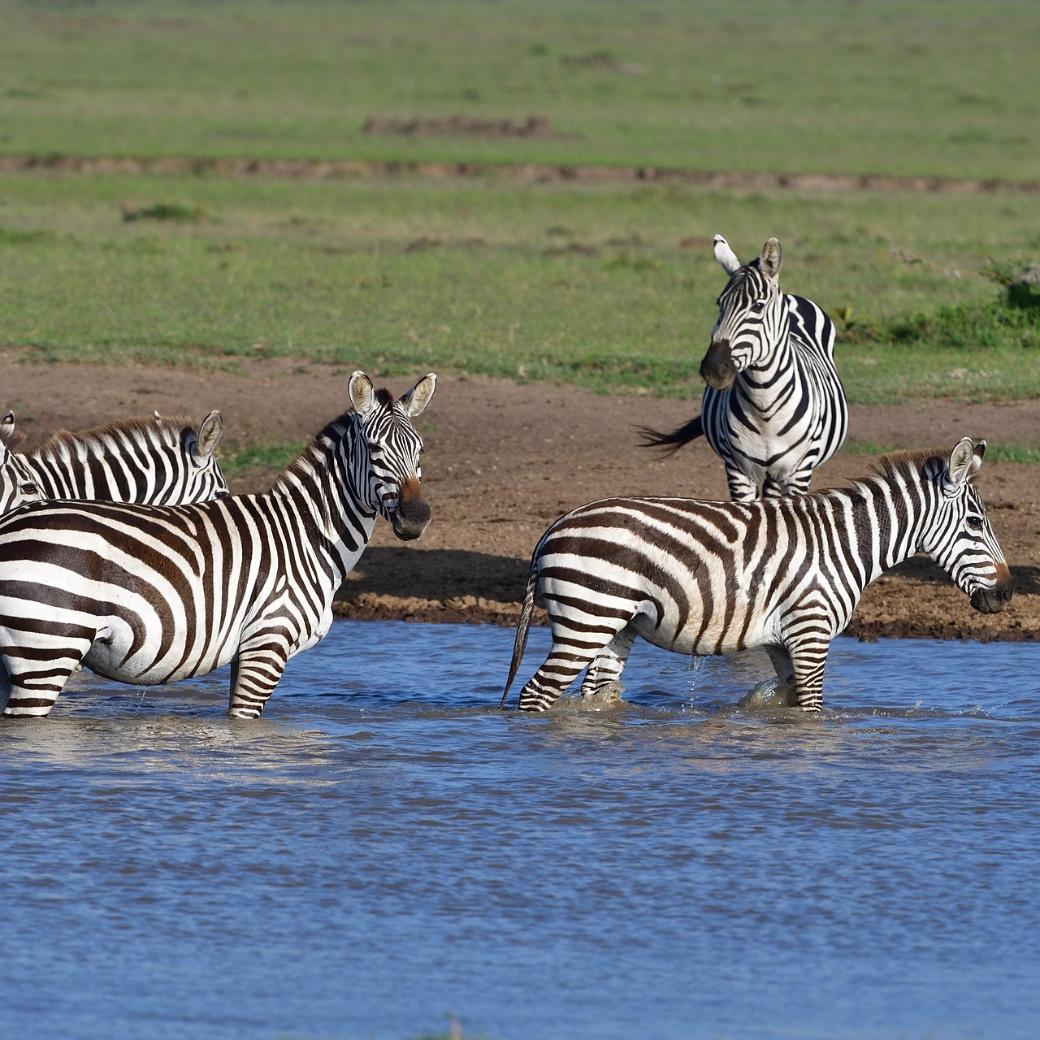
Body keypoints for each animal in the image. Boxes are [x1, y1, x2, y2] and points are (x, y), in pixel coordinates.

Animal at [502, 438, 1011, 713]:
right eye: (975, 524)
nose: (1006, 593)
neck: (845, 545)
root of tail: (554, 526)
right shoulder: (810, 631)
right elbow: (812, 708)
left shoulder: (783, 641)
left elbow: (789, 700)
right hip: (587, 618)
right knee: (535, 693)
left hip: (614, 624)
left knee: (594, 695)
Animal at [640, 234, 848, 501]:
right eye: (719, 304)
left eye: (758, 306)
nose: (713, 369)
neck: (764, 408)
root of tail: (792, 297)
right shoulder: (737, 469)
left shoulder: (798, 472)